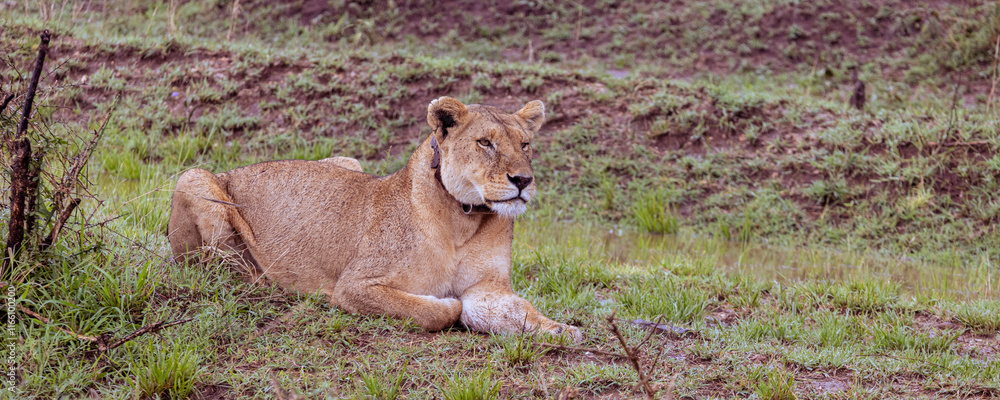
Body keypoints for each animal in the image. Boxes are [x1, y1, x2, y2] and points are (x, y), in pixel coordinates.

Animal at [167, 97, 581, 341]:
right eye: (485, 143)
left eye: (525, 145)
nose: (523, 180)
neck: (464, 218)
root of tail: (231, 170)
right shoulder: (355, 285)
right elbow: (433, 309)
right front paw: (447, 304)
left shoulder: (488, 288)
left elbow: (517, 309)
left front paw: (561, 329)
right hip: (193, 178)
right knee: (216, 266)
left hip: (347, 160)